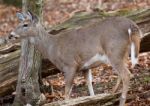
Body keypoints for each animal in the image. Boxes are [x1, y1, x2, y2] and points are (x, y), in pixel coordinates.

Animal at [9, 11, 141, 106]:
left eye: (25, 25)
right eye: (18, 24)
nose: (10, 35)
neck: (52, 47)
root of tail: (131, 25)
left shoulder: (70, 65)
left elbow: (67, 92)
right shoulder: (85, 67)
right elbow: (90, 86)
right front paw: (95, 100)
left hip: (114, 51)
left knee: (126, 74)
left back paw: (121, 101)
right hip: (122, 53)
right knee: (122, 74)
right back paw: (112, 93)